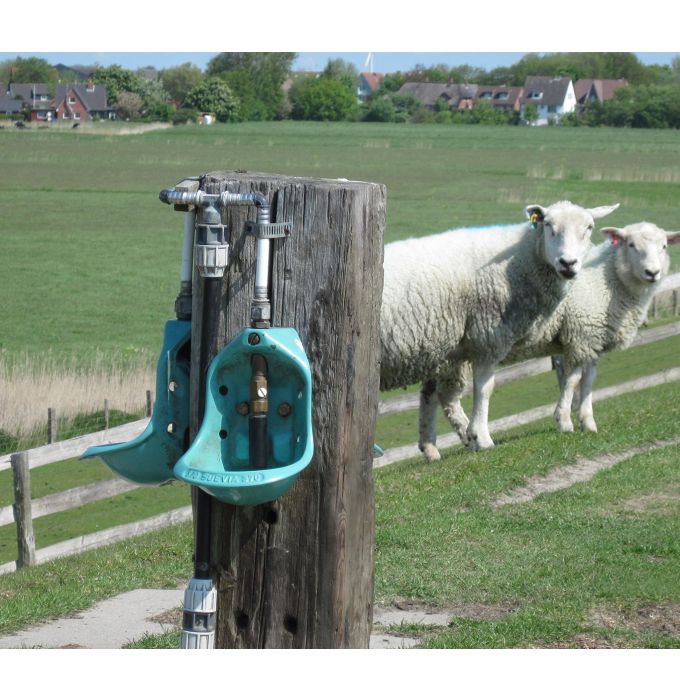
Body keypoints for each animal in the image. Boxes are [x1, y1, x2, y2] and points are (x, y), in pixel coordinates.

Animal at [380, 200, 620, 458]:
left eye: (589, 227)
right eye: (548, 225)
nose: (568, 263)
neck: (522, 260)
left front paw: (475, 436)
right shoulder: (488, 335)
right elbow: (485, 389)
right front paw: (482, 437)